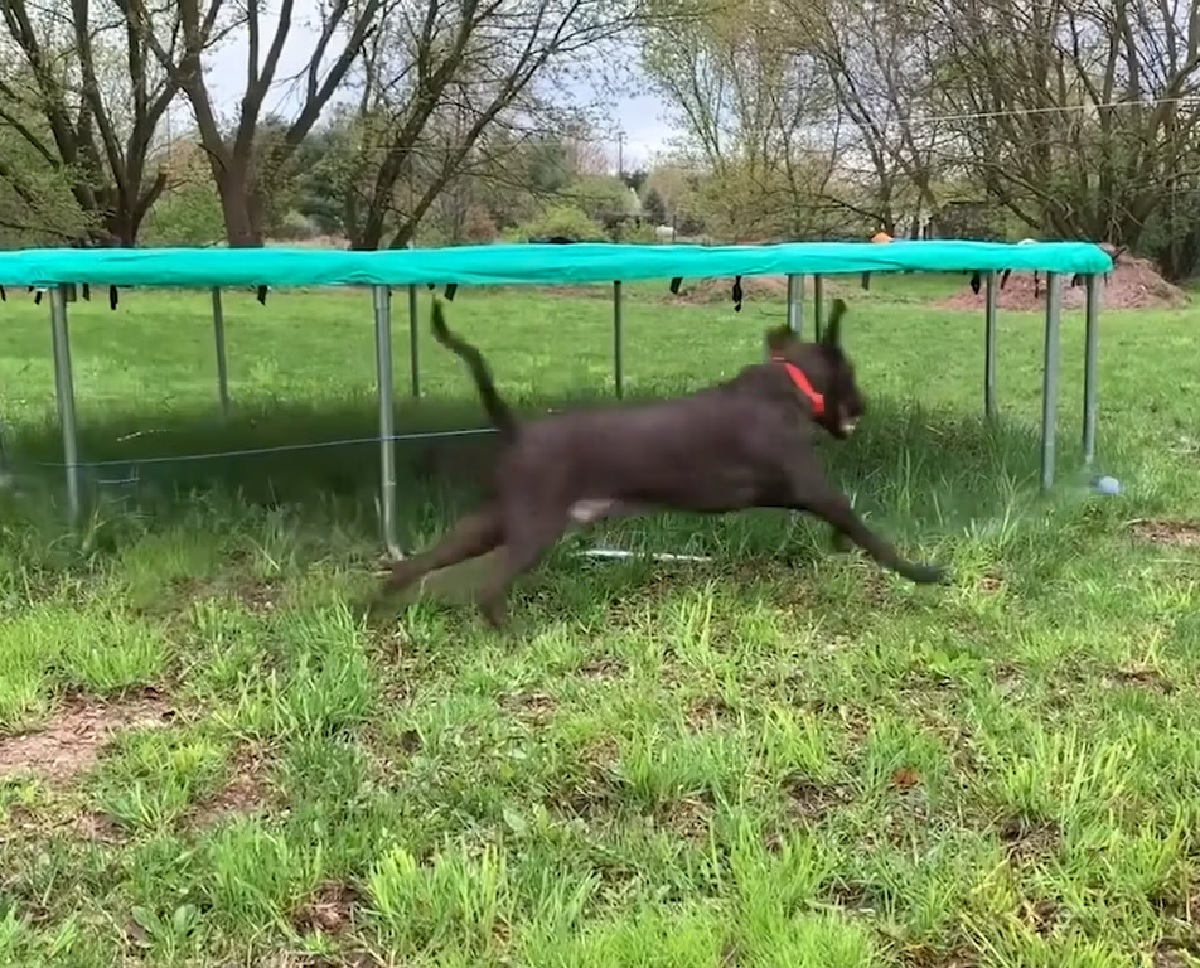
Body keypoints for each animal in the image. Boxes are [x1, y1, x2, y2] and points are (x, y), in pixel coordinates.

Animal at [376, 297, 945, 628]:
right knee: (488, 589)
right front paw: (924, 573)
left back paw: (372, 606)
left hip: (490, 521)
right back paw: (516, 635)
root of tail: (519, 430)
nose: (864, 407)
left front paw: (842, 545)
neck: (788, 387)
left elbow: (846, 526)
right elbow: (870, 532)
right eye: (852, 373)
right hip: (535, 528)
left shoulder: (800, 495)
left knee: (416, 563)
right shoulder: (812, 488)